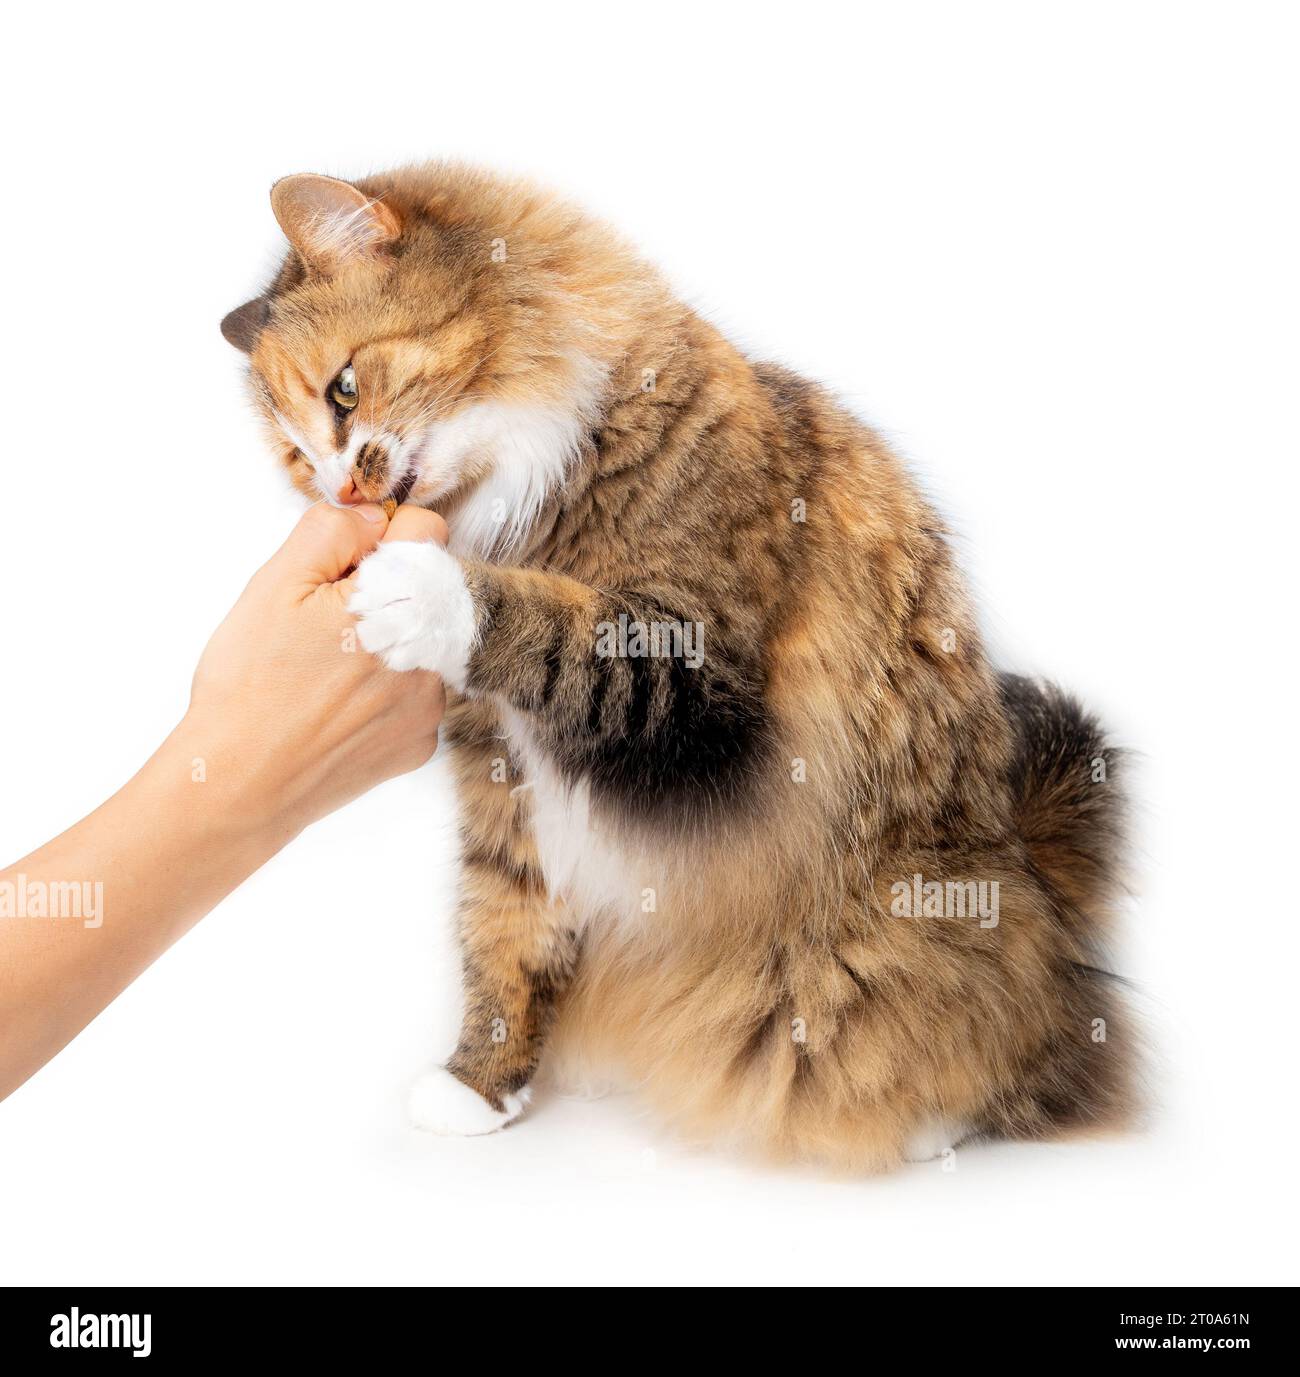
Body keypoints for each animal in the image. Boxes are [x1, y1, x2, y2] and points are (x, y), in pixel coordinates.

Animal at [225, 163, 1134, 1173]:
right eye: (299, 462)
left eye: (344, 390)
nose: (344, 490)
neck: (522, 497)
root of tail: (1030, 866)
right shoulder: (502, 775)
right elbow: (503, 929)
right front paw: (478, 1089)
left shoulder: (693, 675)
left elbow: (546, 625)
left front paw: (420, 590)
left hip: (912, 932)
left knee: (1010, 1041)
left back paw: (932, 1123)